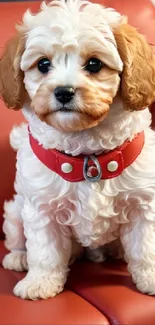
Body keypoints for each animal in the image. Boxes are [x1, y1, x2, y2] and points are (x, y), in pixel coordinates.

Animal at [0, 0, 155, 298]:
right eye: (43, 64)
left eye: (94, 64)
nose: (63, 91)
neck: (87, 156)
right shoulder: (42, 207)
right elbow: (45, 251)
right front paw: (41, 281)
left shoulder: (144, 202)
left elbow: (146, 247)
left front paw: (150, 276)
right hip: (16, 211)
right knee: (17, 237)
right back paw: (19, 257)